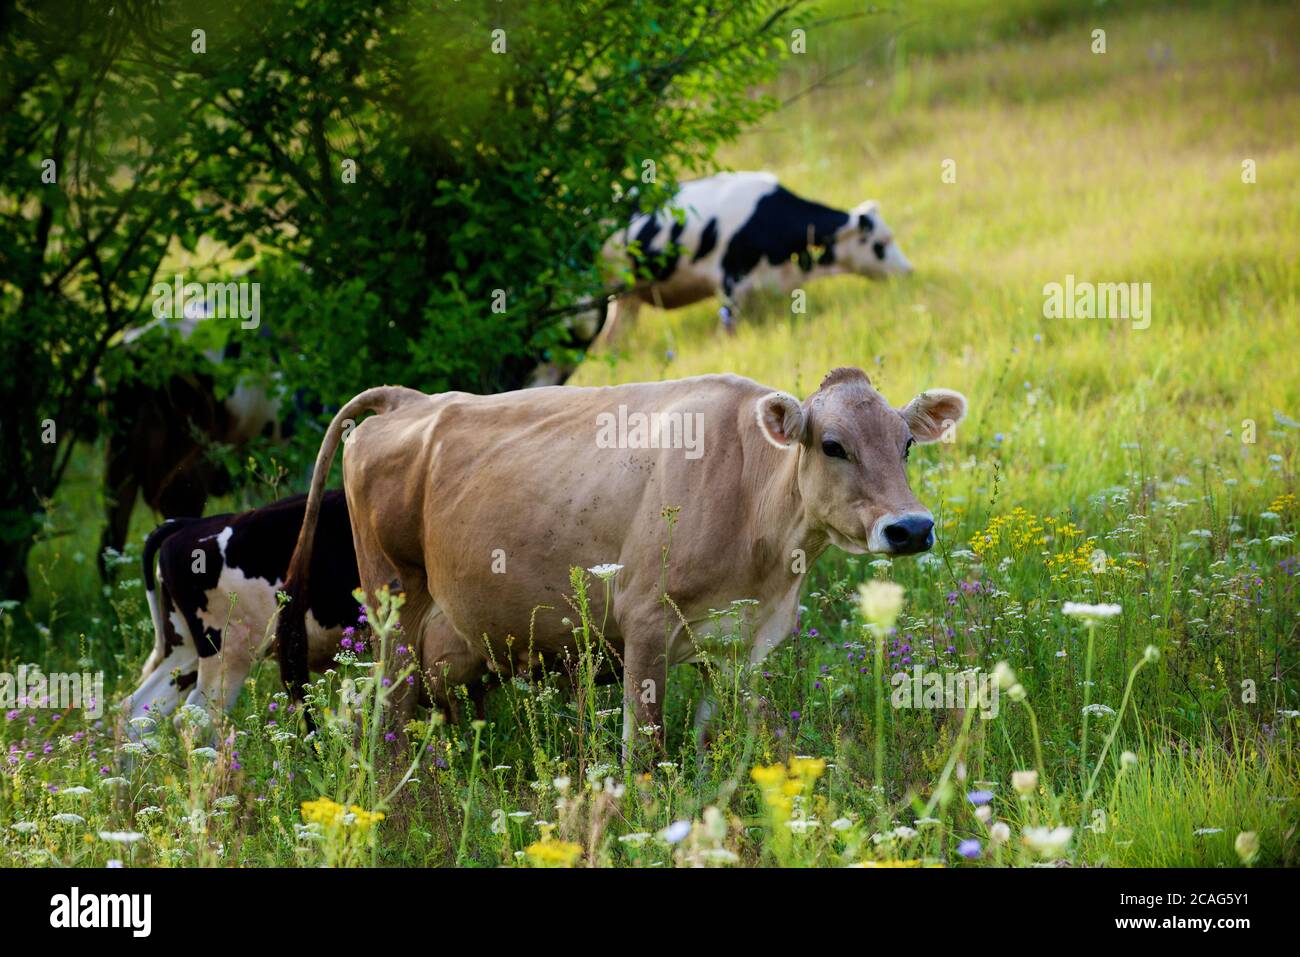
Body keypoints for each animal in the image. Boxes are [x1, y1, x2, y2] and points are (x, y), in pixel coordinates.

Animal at [276, 368, 965, 759]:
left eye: (906, 443)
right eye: (832, 445)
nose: (911, 527)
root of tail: (408, 399)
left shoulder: (743, 647)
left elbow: (728, 744)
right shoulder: (646, 625)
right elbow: (645, 752)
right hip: (393, 605)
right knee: (387, 715)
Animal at [594, 171, 913, 349]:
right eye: (882, 242)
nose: (908, 270)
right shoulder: (730, 282)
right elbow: (728, 333)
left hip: (628, 296)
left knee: (613, 337)